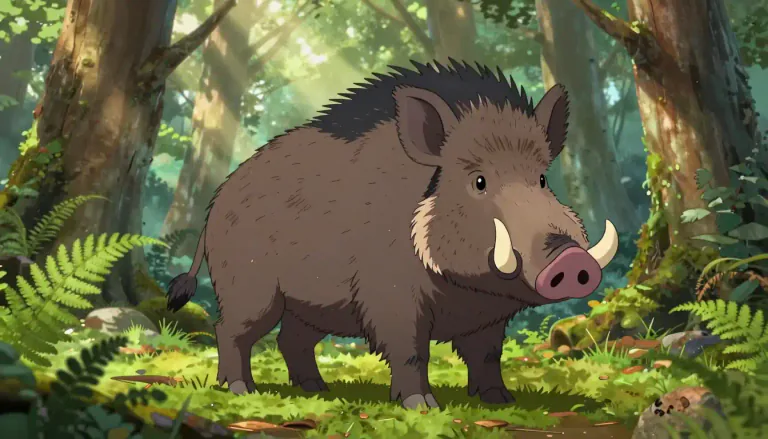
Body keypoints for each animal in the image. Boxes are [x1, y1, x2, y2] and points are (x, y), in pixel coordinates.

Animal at [166, 59, 619, 410]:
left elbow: (487, 356)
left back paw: (316, 390)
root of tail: (214, 205)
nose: (571, 259)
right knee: (230, 331)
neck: (465, 288)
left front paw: (500, 401)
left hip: (307, 306)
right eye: (479, 181)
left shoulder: (487, 316)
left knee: (291, 340)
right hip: (250, 289)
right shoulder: (391, 298)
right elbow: (410, 352)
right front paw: (423, 406)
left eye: (542, 179)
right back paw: (241, 390)